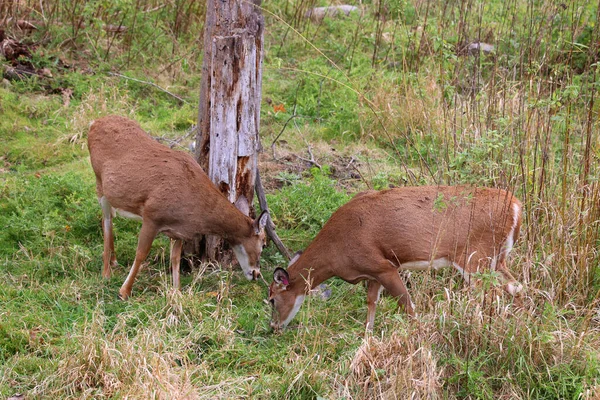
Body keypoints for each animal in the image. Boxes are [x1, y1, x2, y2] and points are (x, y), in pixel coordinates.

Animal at [87, 114, 270, 298]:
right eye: (263, 243)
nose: (256, 274)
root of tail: (94, 122)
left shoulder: (178, 231)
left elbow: (175, 259)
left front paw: (177, 291)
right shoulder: (152, 215)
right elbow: (141, 253)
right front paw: (124, 291)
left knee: (109, 216)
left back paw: (114, 261)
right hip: (99, 182)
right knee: (106, 220)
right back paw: (106, 273)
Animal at [270, 186, 524, 330]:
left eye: (271, 299)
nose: (273, 326)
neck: (335, 251)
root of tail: (516, 206)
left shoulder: (383, 266)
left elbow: (408, 306)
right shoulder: (371, 273)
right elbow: (371, 303)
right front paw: (366, 340)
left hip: (474, 256)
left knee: (493, 293)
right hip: (497, 258)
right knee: (517, 286)